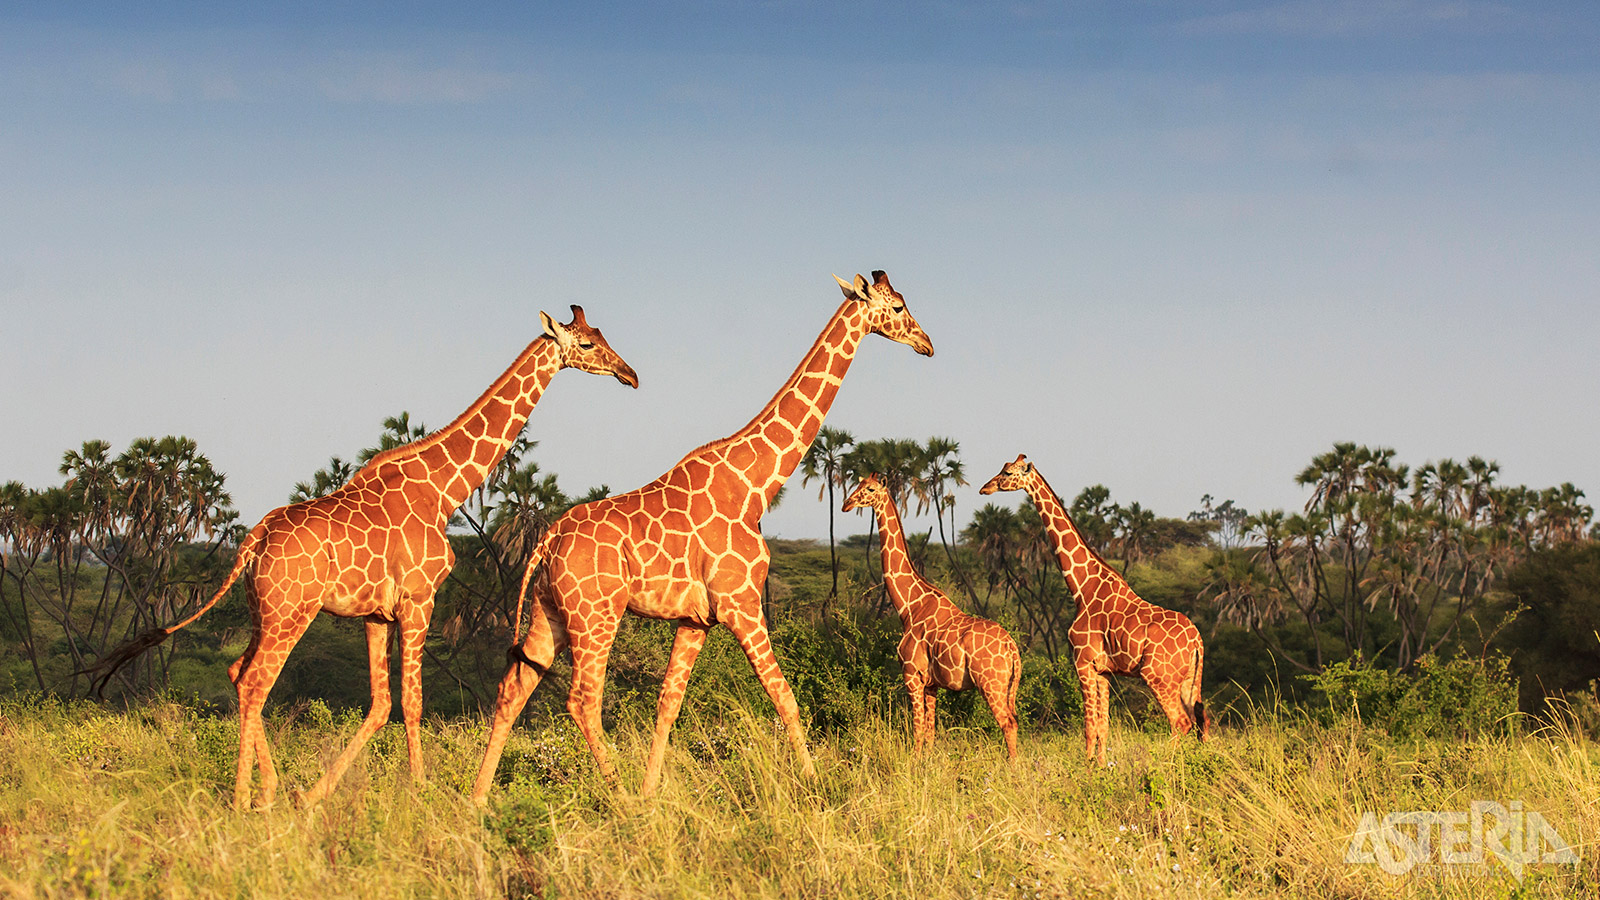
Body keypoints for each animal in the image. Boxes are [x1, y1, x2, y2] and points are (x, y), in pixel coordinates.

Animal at [90, 305, 633, 807]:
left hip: (261, 610)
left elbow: (380, 703)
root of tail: (253, 540)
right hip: (291, 612)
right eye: (587, 344)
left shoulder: (376, 614)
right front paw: (420, 791)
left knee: (236, 673)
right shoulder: (419, 600)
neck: (444, 488)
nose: (630, 374)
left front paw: (315, 794)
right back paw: (247, 798)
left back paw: (272, 788)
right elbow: (412, 702)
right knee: (256, 682)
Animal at [467, 267, 934, 797]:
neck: (755, 484)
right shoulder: (741, 604)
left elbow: (667, 705)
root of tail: (546, 540)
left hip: (551, 613)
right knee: (582, 699)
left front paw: (652, 793)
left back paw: (478, 801)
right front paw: (815, 786)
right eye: (897, 307)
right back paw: (618, 797)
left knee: (513, 688)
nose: (926, 343)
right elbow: (784, 695)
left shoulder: (696, 620)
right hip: (596, 614)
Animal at [844, 474, 1017, 752]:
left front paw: (914, 761)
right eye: (856, 485)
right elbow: (930, 733)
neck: (909, 606)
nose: (846, 504)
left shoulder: (912, 674)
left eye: (869, 489)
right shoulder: (932, 683)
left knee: (1008, 724)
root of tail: (1012, 649)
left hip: (991, 683)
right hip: (1007, 685)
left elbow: (916, 732)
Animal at [972, 451, 1209, 759]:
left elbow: (1088, 726)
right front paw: (1101, 764)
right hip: (1190, 680)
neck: (1081, 587)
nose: (985, 488)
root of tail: (1197, 642)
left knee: (1181, 722)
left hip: (1158, 676)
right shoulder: (1104, 670)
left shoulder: (1082, 661)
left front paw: (1086, 766)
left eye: (1009, 473)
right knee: (1201, 721)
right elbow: (1103, 726)